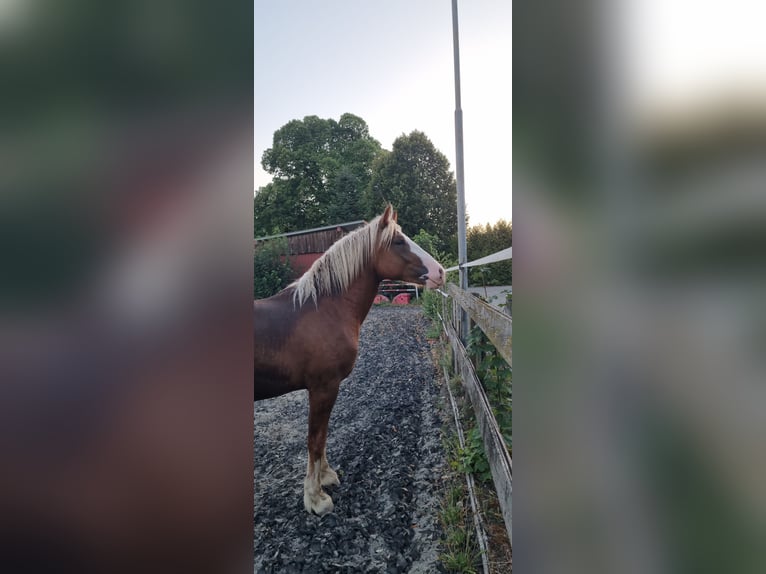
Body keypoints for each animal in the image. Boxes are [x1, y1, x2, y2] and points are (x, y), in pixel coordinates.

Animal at [254, 204, 445, 515]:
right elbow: (315, 439)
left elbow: (322, 437)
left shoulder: (326, 390)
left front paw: (326, 478)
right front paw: (316, 498)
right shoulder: (323, 388)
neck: (322, 309)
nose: (440, 272)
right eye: (398, 241)